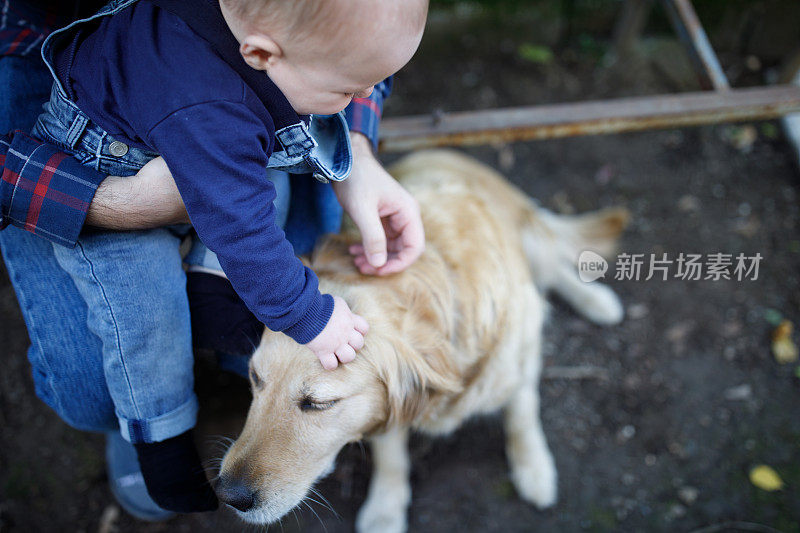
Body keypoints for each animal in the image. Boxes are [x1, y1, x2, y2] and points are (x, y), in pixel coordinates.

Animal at [216, 148, 628, 528]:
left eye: (319, 403)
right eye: (255, 378)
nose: (227, 495)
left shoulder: (520, 352)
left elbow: (522, 412)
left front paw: (534, 466)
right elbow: (391, 453)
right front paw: (385, 508)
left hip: (532, 245)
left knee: (557, 265)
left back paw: (597, 299)